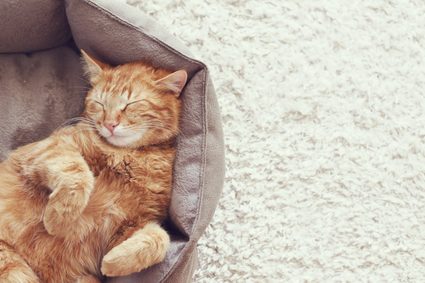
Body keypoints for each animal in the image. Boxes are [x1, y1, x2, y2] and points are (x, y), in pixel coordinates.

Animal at [0, 51, 187, 283]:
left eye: (131, 104)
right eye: (100, 103)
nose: (109, 124)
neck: (129, 156)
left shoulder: (126, 226)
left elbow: (160, 237)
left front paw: (112, 262)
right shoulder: (48, 149)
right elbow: (79, 175)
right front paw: (57, 219)